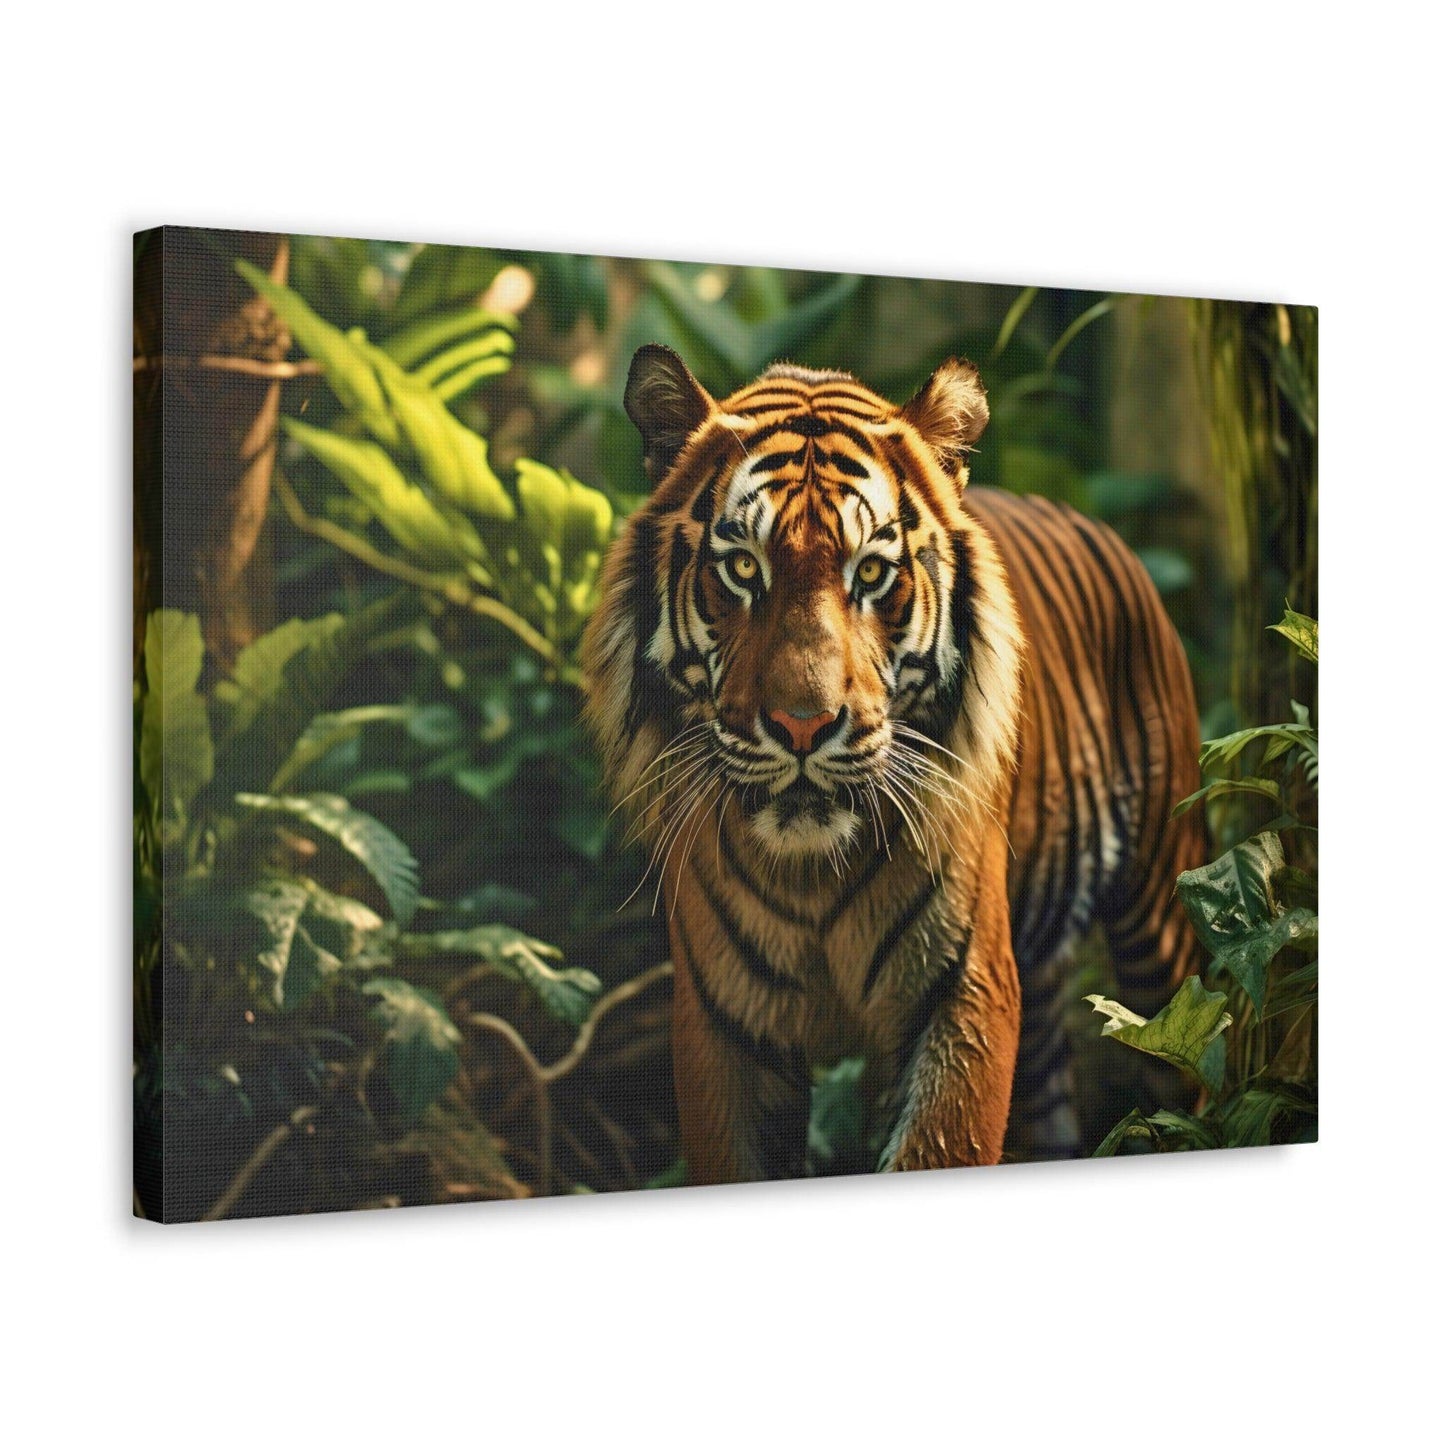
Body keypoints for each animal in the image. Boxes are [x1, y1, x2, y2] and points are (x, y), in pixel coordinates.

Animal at [582, 344, 1205, 1183]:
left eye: (871, 574)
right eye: (742, 568)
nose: (803, 724)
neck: (811, 875)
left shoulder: (962, 996)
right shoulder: (723, 1026)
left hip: (1161, 918)